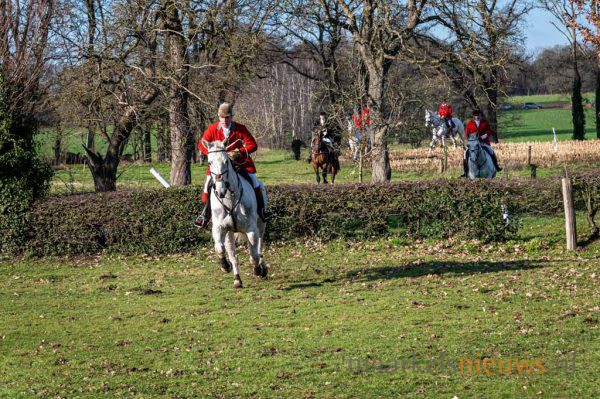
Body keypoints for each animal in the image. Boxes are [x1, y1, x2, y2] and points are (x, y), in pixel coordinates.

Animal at [204, 140, 270, 288]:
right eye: (210, 162)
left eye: (226, 161)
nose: (220, 191)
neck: (229, 198)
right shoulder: (219, 228)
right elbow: (220, 249)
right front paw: (224, 266)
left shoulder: (251, 230)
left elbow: (254, 255)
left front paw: (258, 270)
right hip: (229, 233)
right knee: (233, 255)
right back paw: (237, 279)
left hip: (261, 226)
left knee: (259, 248)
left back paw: (262, 269)